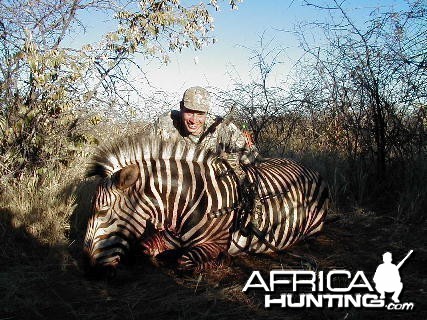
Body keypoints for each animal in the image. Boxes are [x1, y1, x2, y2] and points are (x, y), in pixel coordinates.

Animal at [83, 136, 330, 274]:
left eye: (103, 211)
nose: (88, 267)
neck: (189, 201)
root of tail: (311, 170)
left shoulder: (214, 243)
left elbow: (184, 261)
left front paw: (222, 260)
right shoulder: (169, 236)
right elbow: (145, 247)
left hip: (311, 229)